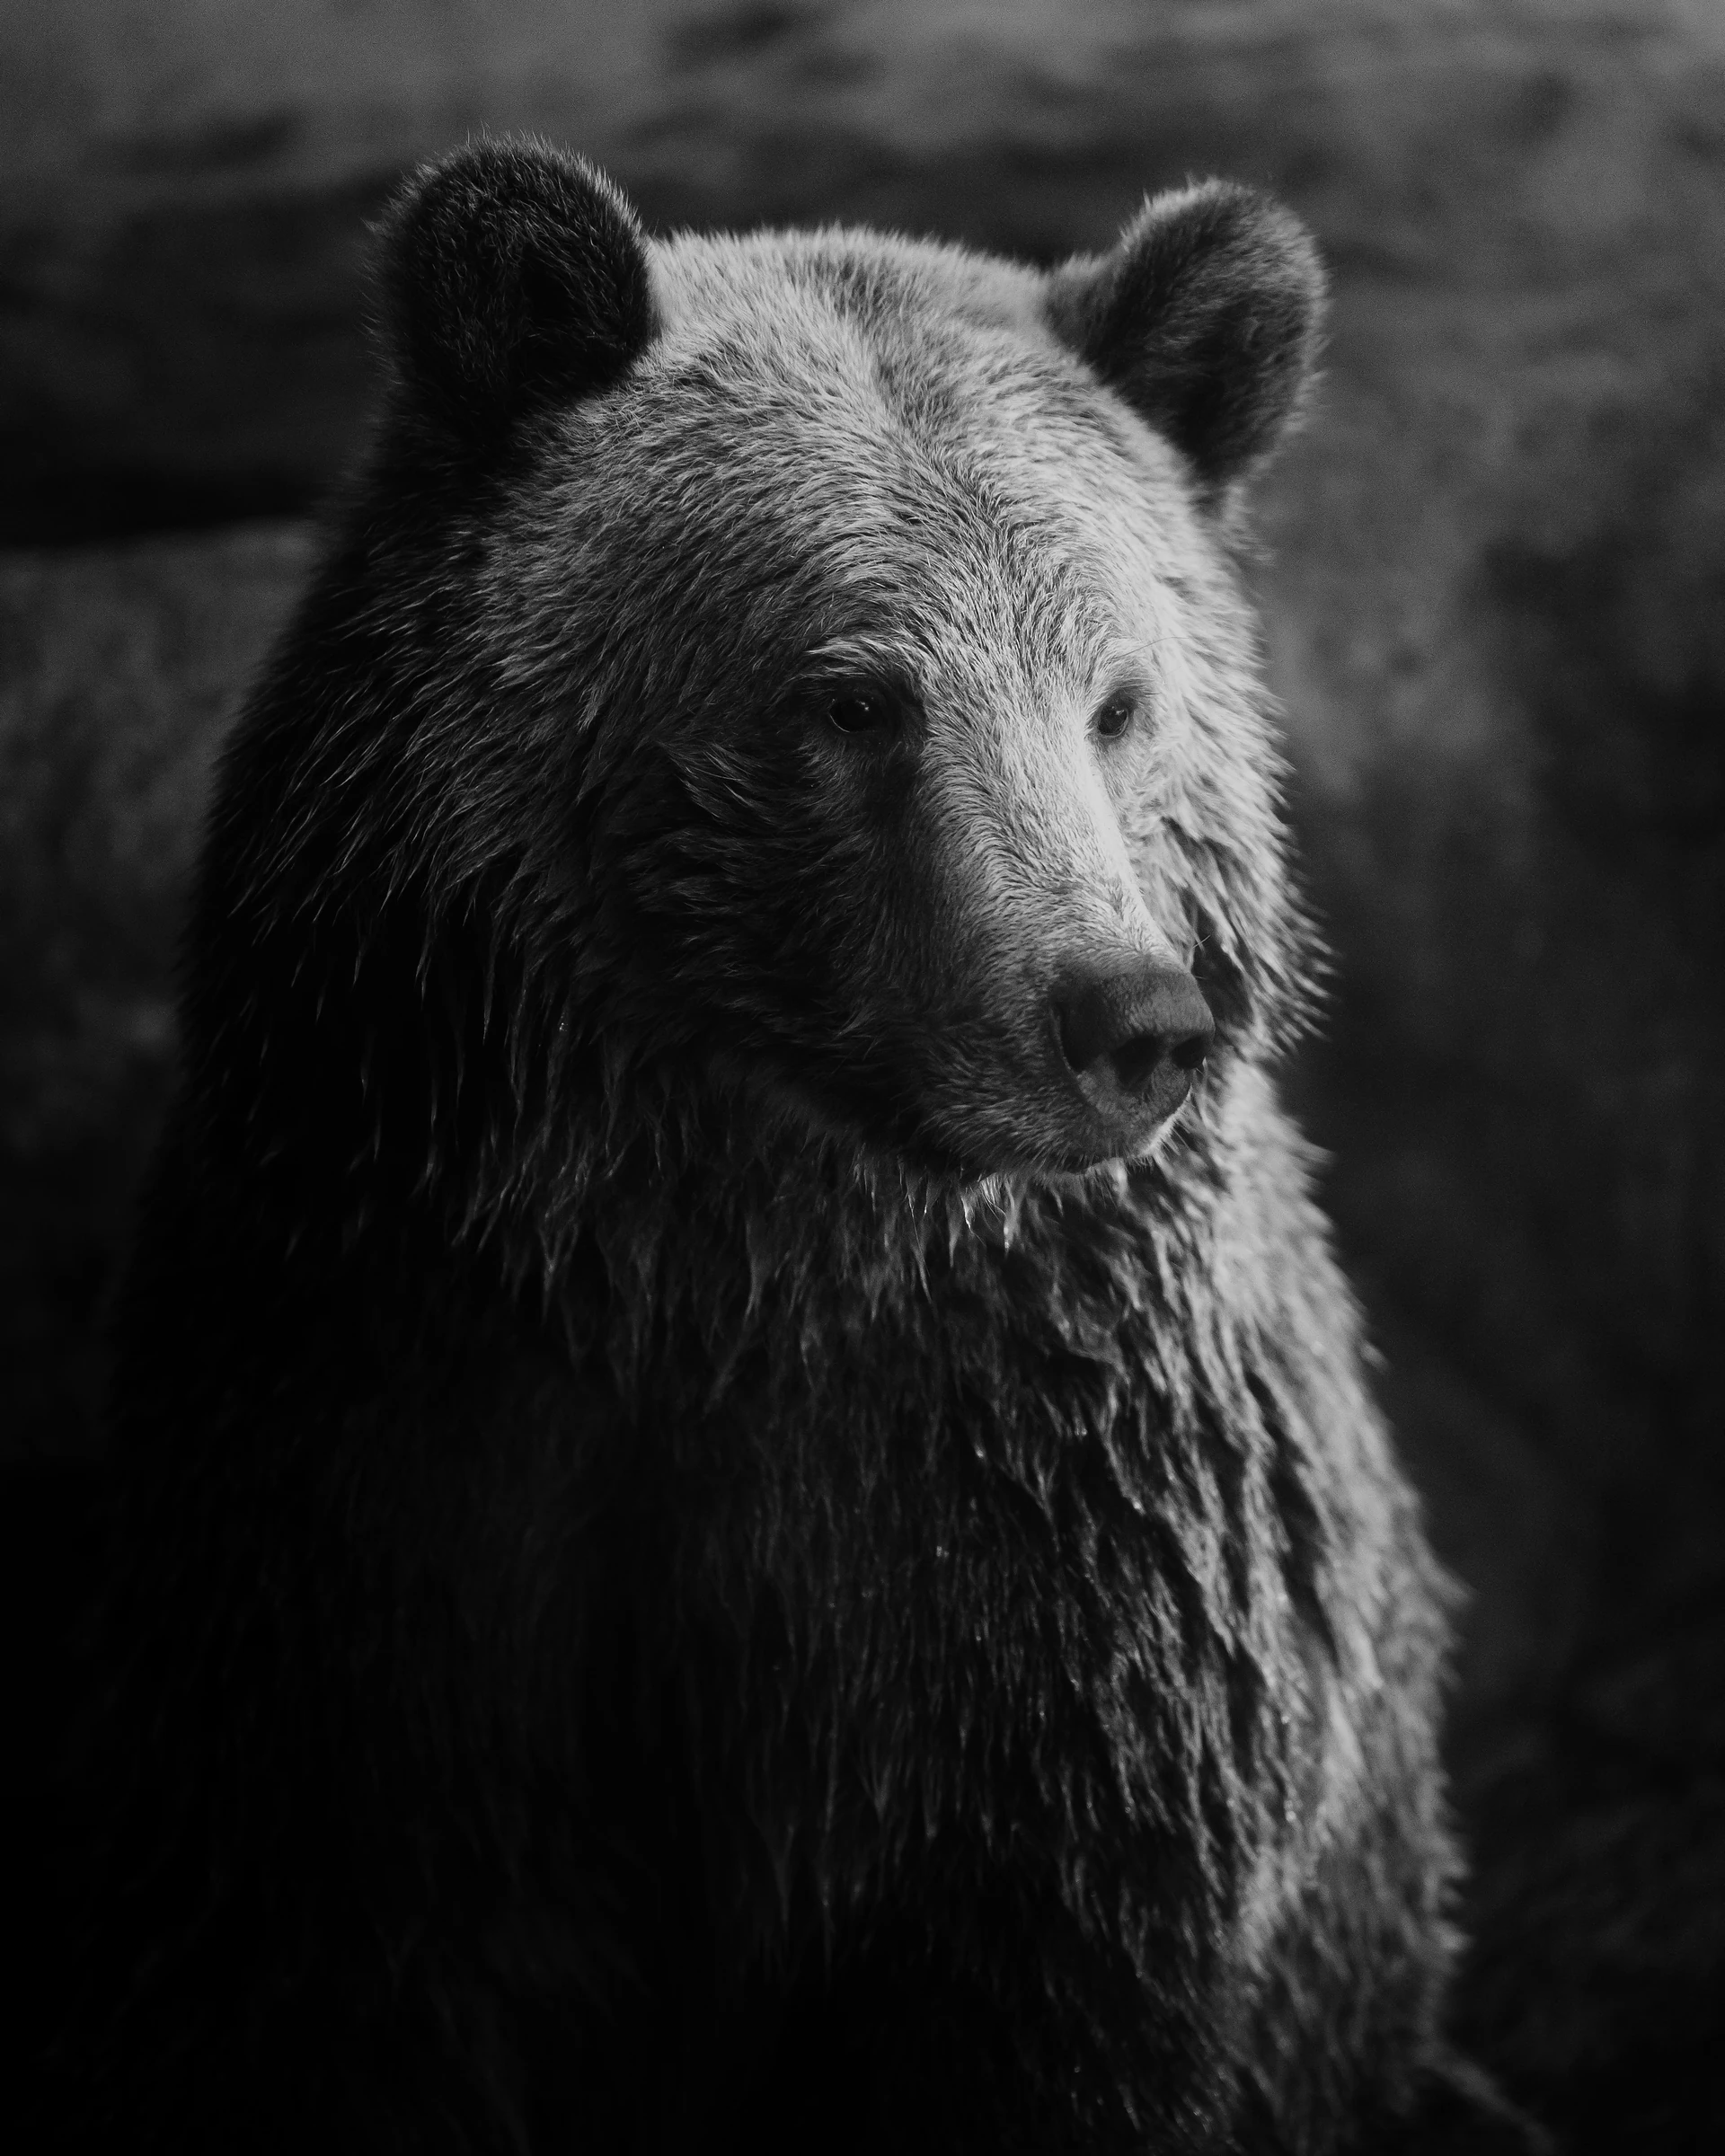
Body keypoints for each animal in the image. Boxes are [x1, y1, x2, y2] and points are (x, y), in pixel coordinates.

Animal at [60, 141, 1542, 2154]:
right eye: (853, 696)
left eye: (1118, 694)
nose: (1121, 1013)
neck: (743, 1250)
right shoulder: (377, 1471)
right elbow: (352, 1954)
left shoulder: (1073, 1590)